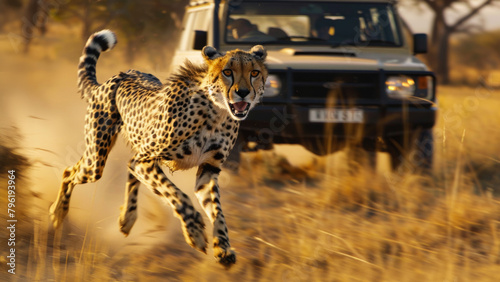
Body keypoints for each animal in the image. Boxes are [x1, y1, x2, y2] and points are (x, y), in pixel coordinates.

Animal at [49, 29, 270, 266]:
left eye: (254, 72)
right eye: (227, 72)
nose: (243, 92)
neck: (216, 113)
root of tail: (117, 76)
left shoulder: (208, 169)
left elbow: (217, 210)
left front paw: (223, 247)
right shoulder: (147, 161)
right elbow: (177, 195)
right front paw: (195, 233)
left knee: (127, 166)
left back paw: (127, 217)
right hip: (96, 161)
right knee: (69, 171)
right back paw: (58, 213)